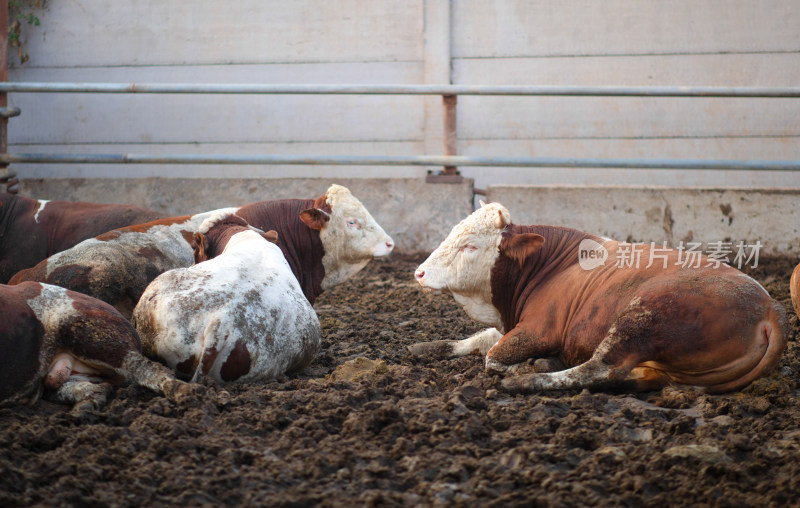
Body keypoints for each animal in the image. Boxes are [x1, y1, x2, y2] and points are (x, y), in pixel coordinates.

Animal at [412, 201, 788, 392]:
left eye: (470, 245)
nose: (419, 273)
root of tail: (769, 307)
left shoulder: (539, 329)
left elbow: (492, 355)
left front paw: (525, 366)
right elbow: (479, 339)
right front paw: (425, 347)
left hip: (641, 317)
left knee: (599, 369)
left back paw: (532, 376)